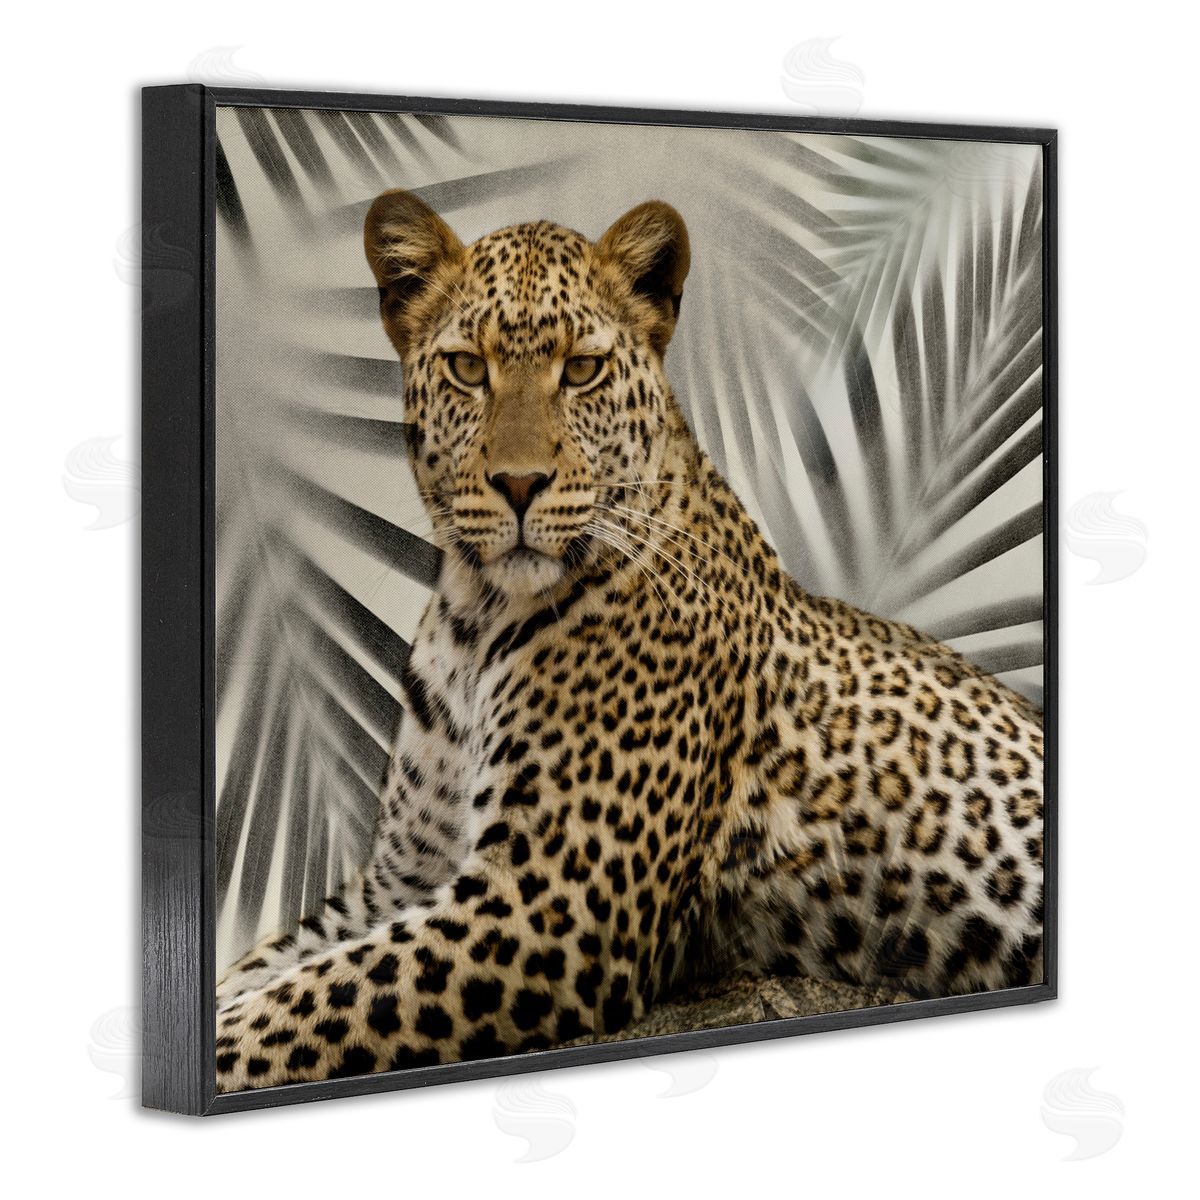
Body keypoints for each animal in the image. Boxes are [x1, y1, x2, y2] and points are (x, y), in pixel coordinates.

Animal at [214, 189, 1045, 1091]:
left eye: (582, 371)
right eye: (468, 368)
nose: (518, 484)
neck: (474, 616)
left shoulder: (550, 902)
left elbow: (291, 1010)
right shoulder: (399, 879)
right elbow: (266, 971)